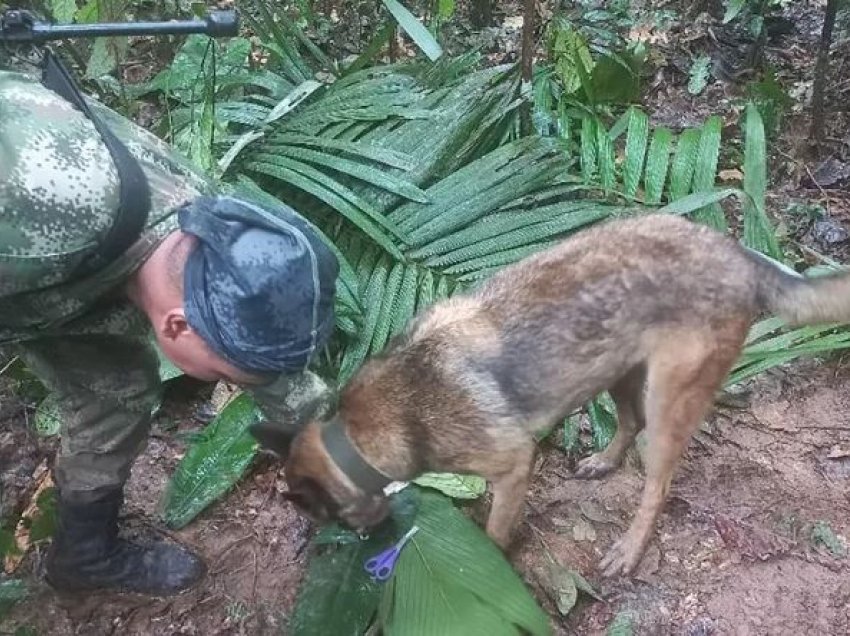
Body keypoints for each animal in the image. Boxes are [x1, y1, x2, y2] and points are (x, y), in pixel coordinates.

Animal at [250, 212, 848, 576]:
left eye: (332, 520)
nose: (364, 544)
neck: (362, 432)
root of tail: (740, 255)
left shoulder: (514, 465)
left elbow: (494, 532)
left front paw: (487, 567)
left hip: (668, 400)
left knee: (657, 482)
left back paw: (630, 547)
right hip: (615, 368)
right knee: (628, 422)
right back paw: (603, 462)